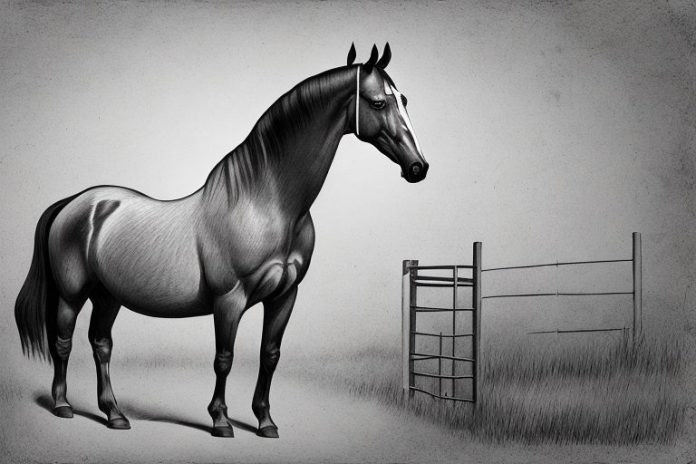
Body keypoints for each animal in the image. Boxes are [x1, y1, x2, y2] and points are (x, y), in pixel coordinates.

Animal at [15, 43, 428, 438]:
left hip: (108, 296)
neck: (266, 203)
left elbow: (269, 355)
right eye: (378, 102)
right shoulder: (230, 299)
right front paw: (220, 421)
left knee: (101, 345)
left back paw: (114, 414)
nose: (418, 167)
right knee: (63, 342)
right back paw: (63, 405)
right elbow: (224, 358)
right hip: (72, 294)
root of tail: (78, 202)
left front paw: (266, 422)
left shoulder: (285, 296)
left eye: (405, 100)